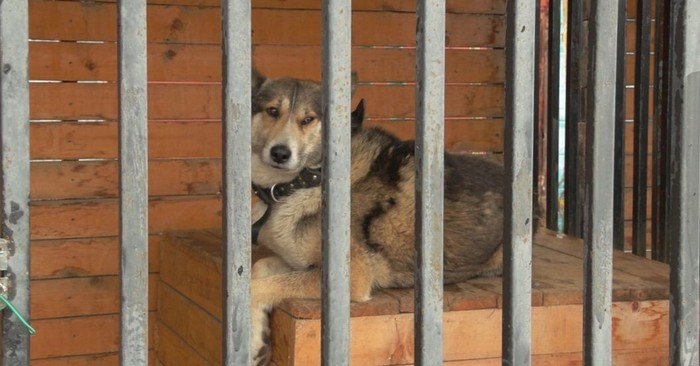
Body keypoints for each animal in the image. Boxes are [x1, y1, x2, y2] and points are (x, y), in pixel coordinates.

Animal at [250, 69, 508, 366]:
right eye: (272, 111)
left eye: (308, 119)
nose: (280, 153)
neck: (305, 182)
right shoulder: (299, 263)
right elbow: (260, 270)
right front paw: (258, 339)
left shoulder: (349, 276)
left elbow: (255, 287)